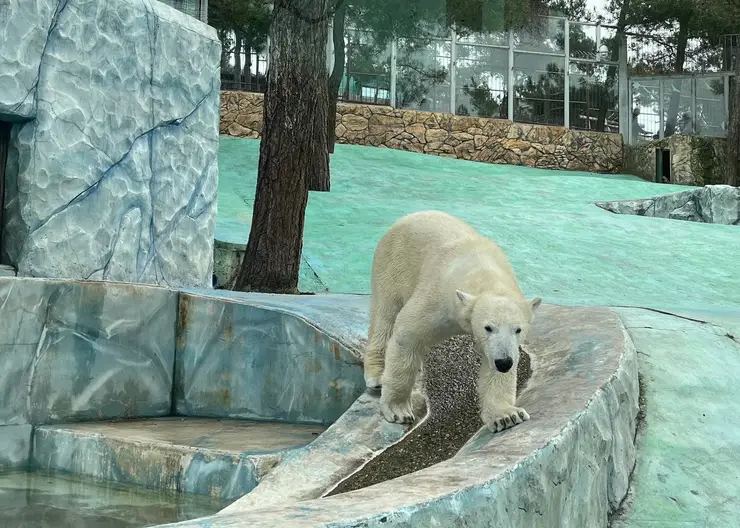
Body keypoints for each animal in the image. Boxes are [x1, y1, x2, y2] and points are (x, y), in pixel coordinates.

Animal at [366, 210, 544, 434]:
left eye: (518, 330)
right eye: (488, 327)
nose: (504, 362)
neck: (483, 272)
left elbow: (493, 365)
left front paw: (507, 416)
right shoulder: (437, 299)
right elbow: (407, 335)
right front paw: (398, 409)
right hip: (392, 264)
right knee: (385, 316)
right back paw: (376, 374)